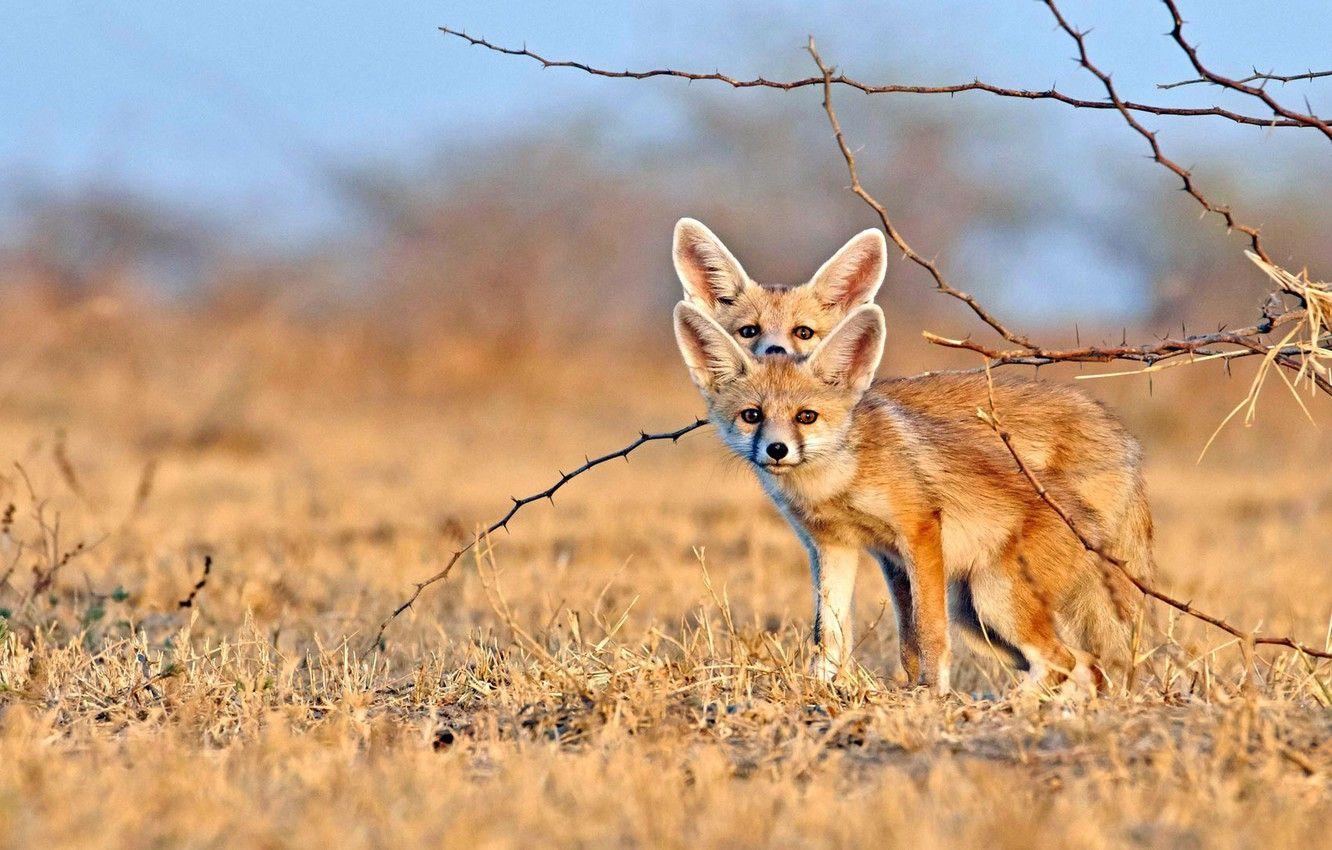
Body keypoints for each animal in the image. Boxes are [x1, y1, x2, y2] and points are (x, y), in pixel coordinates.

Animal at [671, 224, 1154, 693]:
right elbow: (834, 634)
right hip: (975, 613)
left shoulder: (918, 533)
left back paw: (1004, 708)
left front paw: (930, 696)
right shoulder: (839, 547)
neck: (836, 481)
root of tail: (1125, 438)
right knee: (1085, 665)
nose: (776, 449)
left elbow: (927, 633)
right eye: (752, 416)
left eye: (803, 333)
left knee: (1063, 661)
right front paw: (821, 691)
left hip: (992, 596)